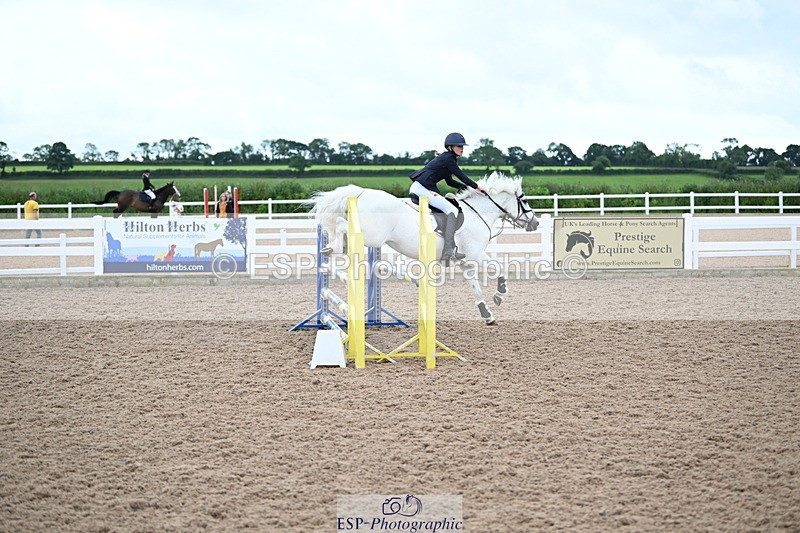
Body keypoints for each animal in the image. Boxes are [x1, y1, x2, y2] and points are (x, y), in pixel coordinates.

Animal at [310, 172, 538, 325]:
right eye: (525, 200)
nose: (535, 223)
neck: (478, 213)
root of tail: (361, 193)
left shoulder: (466, 262)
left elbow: (475, 287)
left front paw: (487, 314)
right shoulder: (476, 255)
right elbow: (499, 268)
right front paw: (500, 294)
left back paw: (332, 247)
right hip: (373, 235)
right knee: (341, 223)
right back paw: (333, 247)